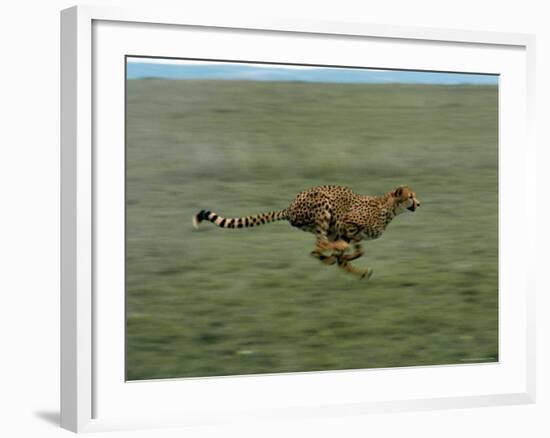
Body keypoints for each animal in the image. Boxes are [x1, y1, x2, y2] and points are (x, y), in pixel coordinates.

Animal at [193, 186, 422, 280]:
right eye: (410, 196)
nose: (419, 203)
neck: (389, 208)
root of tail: (290, 207)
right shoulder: (346, 223)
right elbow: (353, 249)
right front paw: (345, 255)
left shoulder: (349, 232)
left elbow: (357, 252)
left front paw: (350, 261)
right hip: (323, 206)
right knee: (319, 245)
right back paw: (335, 254)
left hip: (326, 226)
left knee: (315, 250)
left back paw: (337, 261)